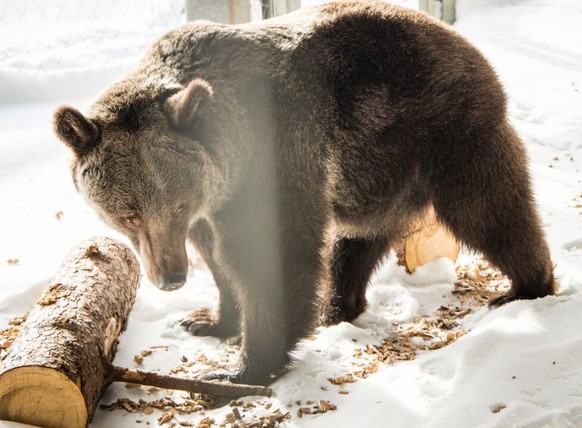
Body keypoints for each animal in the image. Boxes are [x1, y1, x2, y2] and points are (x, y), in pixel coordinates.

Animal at [53, 0, 556, 386]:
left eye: (173, 205)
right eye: (128, 215)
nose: (170, 278)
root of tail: (472, 50)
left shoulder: (275, 160)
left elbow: (272, 254)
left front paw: (244, 367)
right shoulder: (212, 200)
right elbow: (218, 259)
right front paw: (209, 319)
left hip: (445, 132)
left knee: (489, 210)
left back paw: (524, 287)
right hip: (377, 171)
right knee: (356, 241)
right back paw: (336, 306)